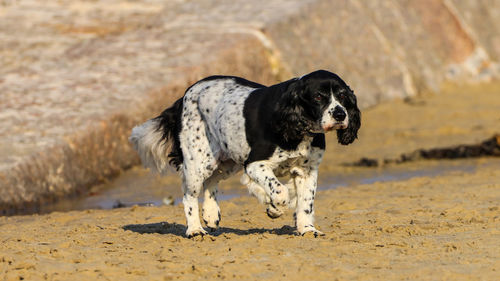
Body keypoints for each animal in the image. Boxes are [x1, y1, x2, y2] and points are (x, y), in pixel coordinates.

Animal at [130, 69, 360, 236]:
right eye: (318, 97)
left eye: (343, 96)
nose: (340, 115)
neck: (297, 126)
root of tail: (185, 95)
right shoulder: (255, 164)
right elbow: (280, 192)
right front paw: (275, 207)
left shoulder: (307, 170)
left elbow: (305, 203)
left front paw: (307, 229)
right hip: (198, 163)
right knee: (189, 196)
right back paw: (195, 229)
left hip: (226, 160)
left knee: (212, 182)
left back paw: (211, 214)